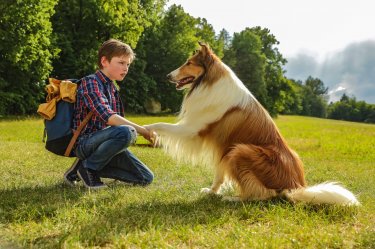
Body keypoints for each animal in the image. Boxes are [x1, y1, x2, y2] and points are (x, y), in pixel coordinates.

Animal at [145, 42, 360, 206]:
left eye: (189, 63)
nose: (167, 76)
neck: (209, 82)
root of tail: (295, 186)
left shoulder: (193, 130)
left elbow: (160, 124)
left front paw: (146, 129)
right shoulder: (223, 149)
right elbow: (219, 175)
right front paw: (211, 192)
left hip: (240, 151)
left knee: (263, 195)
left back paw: (232, 198)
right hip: (237, 152)